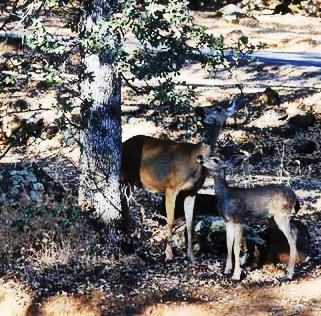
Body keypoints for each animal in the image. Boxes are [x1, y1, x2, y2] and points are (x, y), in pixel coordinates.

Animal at [121, 98, 244, 262]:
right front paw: (168, 255)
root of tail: (123, 144)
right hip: (125, 176)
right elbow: (171, 221)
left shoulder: (192, 191)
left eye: (218, 108)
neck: (195, 160)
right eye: (209, 106)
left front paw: (191, 256)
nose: (199, 110)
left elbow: (190, 222)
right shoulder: (171, 187)